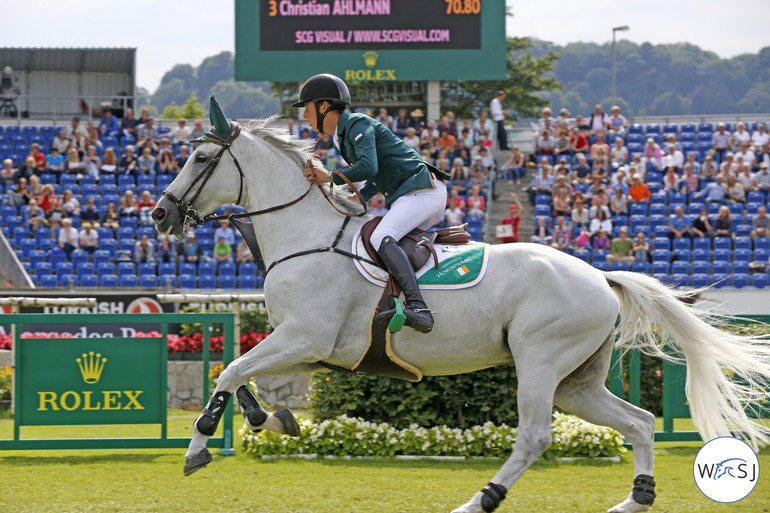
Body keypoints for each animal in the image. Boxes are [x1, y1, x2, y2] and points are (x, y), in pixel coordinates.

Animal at [153, 100, 768, 512]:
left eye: (201, 157)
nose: (160, 215)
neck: (307, 236)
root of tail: (599, 275)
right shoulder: (311, 348)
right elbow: (238, 371)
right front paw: (272, 419)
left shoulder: (307, 337)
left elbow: (230, 369)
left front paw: (198, 447)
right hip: (577, 381)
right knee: (639, 422)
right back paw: (635, 498)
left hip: (540, 361)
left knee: (535, 436)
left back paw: (481, 499)